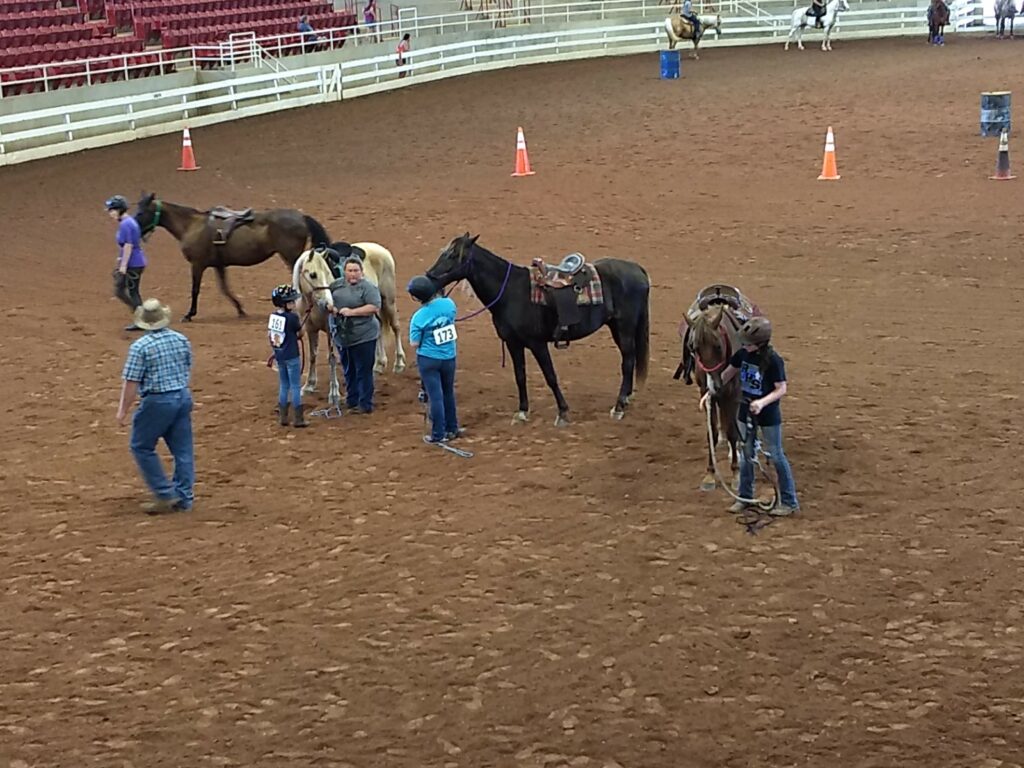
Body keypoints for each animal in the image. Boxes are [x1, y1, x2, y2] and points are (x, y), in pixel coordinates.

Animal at [133, 195, 331, 325]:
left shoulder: (197, 265)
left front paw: (189, 314)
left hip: (291, 256)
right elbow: (225, 289)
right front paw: (240, 309)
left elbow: (195, 290)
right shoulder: (219, 266)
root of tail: (301, 217)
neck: (191, 226)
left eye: (141, 212)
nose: (133, 227)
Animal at [423, 234, 647, 428]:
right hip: (617, 327)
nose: (429, 276)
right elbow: (520, 376)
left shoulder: (537, 344)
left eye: (454, 255)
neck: (511, 292)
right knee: (630, 359)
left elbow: (550, 376)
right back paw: (626, 399)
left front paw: (563, 413)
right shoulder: (513, 344)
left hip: (625, 327)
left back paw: (618, 407)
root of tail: (637, 269)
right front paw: (522, 412)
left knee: (627, 362)